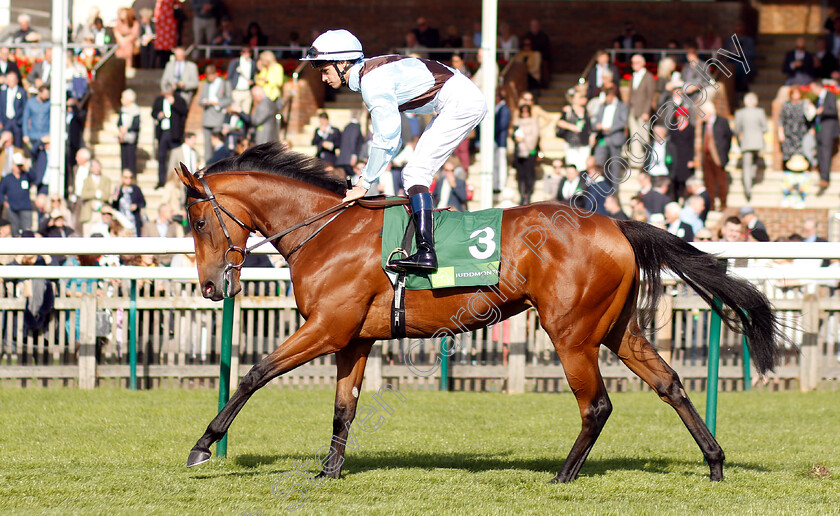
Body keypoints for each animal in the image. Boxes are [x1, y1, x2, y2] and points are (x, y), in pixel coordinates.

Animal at [180, 142, 784, 484]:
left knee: (597, 405)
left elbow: (255, 373)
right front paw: (328, 471)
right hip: (617, 328)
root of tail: (615, 223)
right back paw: (714, 462)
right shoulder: (353, 338)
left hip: (571, 333)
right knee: (669, 383)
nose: (211, 285)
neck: (327, 230)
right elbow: (343, 409)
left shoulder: (325, 328)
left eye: (198, 222)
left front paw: (203, 446)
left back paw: (564, 475)